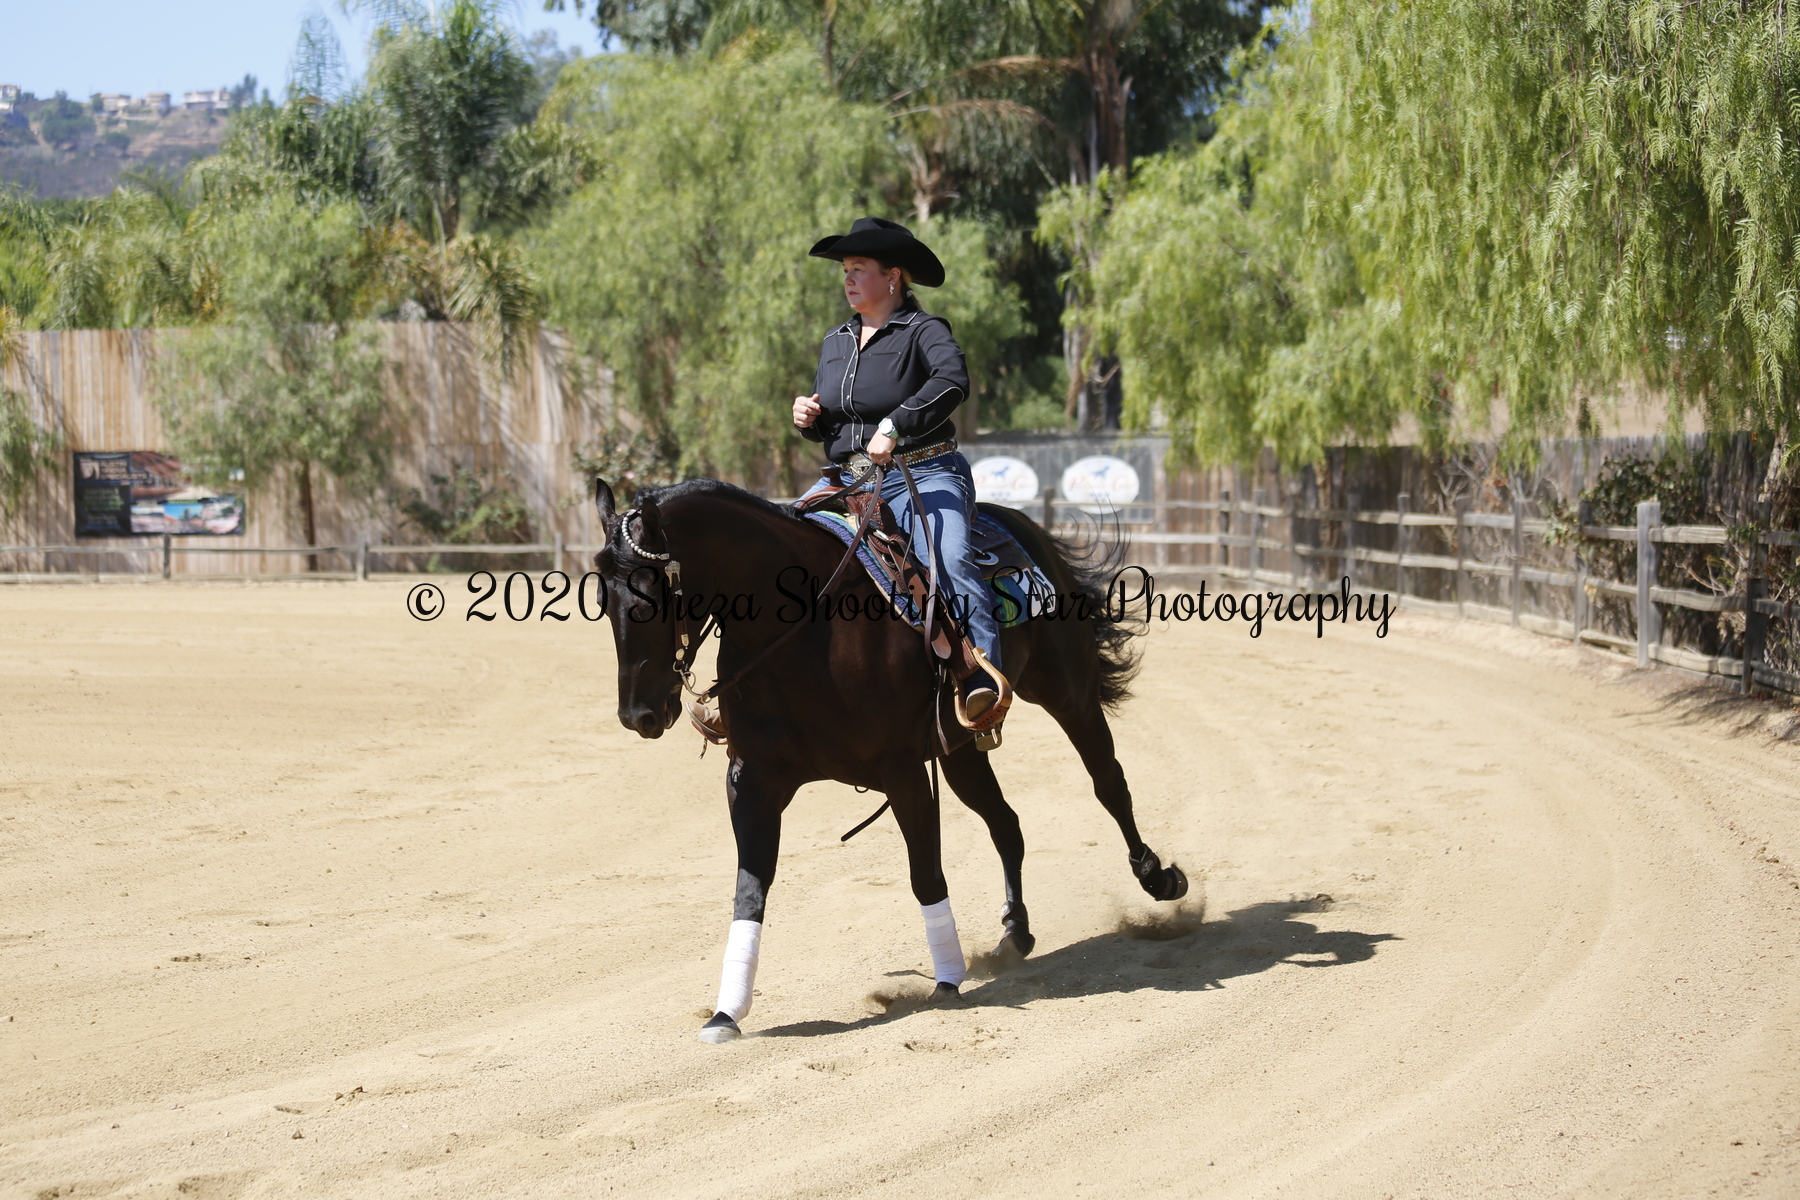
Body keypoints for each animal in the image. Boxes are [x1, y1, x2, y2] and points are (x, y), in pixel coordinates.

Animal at [590, 475, 1188, 1043]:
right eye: (601, 599)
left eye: (649, 596)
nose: (639, 714)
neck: (809, 633)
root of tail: (1019, 523)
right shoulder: (753, 781)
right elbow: (749, 891)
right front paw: (726, 1013)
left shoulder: (902, 774)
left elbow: (926, 875)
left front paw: (947, 981)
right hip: (961, 750)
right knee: (1006, 823)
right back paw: (1015, 933)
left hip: (1068, 692)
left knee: (1108, 783)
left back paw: (1157, 878)